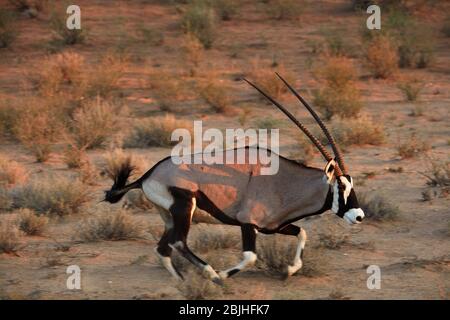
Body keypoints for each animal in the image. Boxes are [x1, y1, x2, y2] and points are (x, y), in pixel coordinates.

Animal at [104, 72, 366, 282]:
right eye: (340, 186)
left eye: (351, 185)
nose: (359, 216)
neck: (284, 181)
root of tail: (147, 175)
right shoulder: (248, 223)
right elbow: (250, 256)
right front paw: (222, 275)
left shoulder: (274, 226)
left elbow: (302, 233)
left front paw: (289, 271)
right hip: (184, 209)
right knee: (178, 242)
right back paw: (210, 274)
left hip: (169, 216)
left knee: (163, 248)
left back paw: (181, 281)